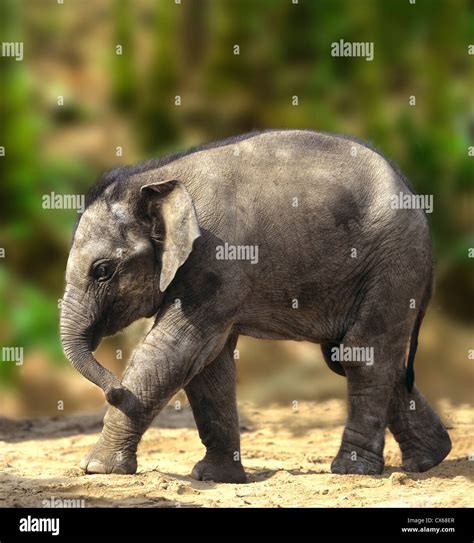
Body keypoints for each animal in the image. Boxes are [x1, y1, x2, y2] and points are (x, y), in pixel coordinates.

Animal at [60, 130, 452, 482]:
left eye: (102, 270)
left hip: (394, 261)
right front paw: (216, 477)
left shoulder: (216, 259)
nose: (114, 389)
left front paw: (96, 468)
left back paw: (351, 471)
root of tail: (414, 195)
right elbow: (207, 364)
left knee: (362, 352)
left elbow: (174, 349)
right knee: (356, 355)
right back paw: (430, 460)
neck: (156, 178)